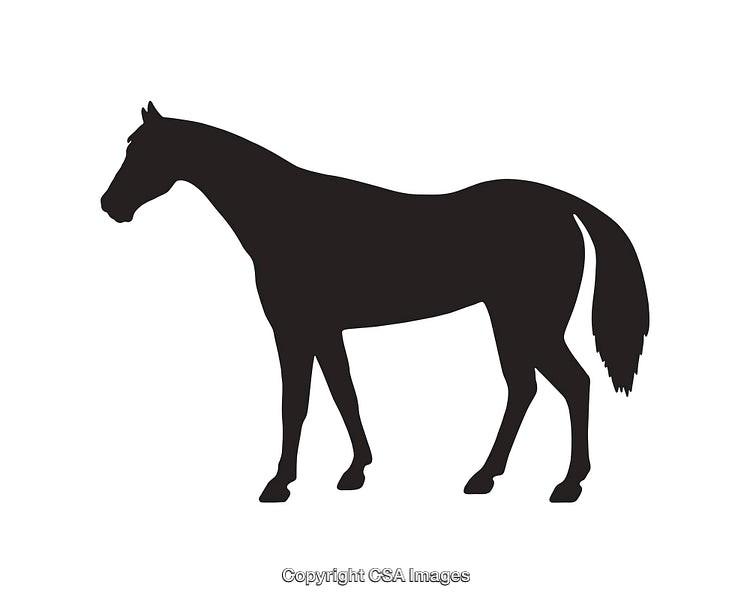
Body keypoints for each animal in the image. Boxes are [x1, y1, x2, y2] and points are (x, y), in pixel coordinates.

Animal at [101, 102, 649, 503]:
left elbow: (296, 402)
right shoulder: (324, 330)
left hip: (531, 324)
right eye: (130, 147)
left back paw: (567, 484)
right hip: (509, 321)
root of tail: (565, 205)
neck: (285, 215)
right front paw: (355, 471)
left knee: (572, 385)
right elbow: (343, 394)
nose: (110, 206)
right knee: (525, 389)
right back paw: (485, 477)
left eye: (143, 151)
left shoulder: (294, 329)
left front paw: (279, 483)